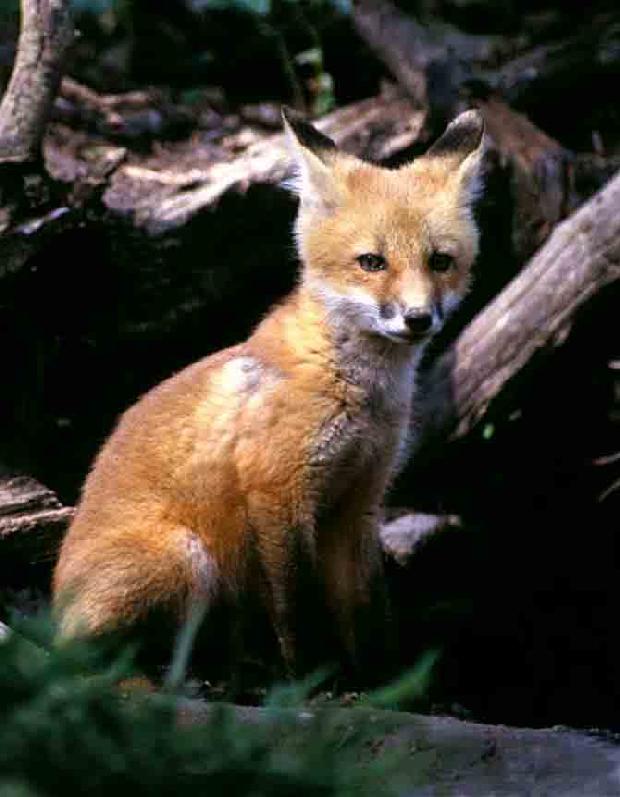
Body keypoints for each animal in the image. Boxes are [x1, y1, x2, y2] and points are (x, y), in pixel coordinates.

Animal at [52, 108, 485, 677]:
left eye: (440, 261)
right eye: (372, 262)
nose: (418, 318)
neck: (357, 394)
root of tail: (52, 606)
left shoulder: (359, 501)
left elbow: (368, 609)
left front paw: (382, 682)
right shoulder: (278, 493)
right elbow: (296, 606)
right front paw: (313, 681)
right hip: (187, 556)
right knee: (88, 662)